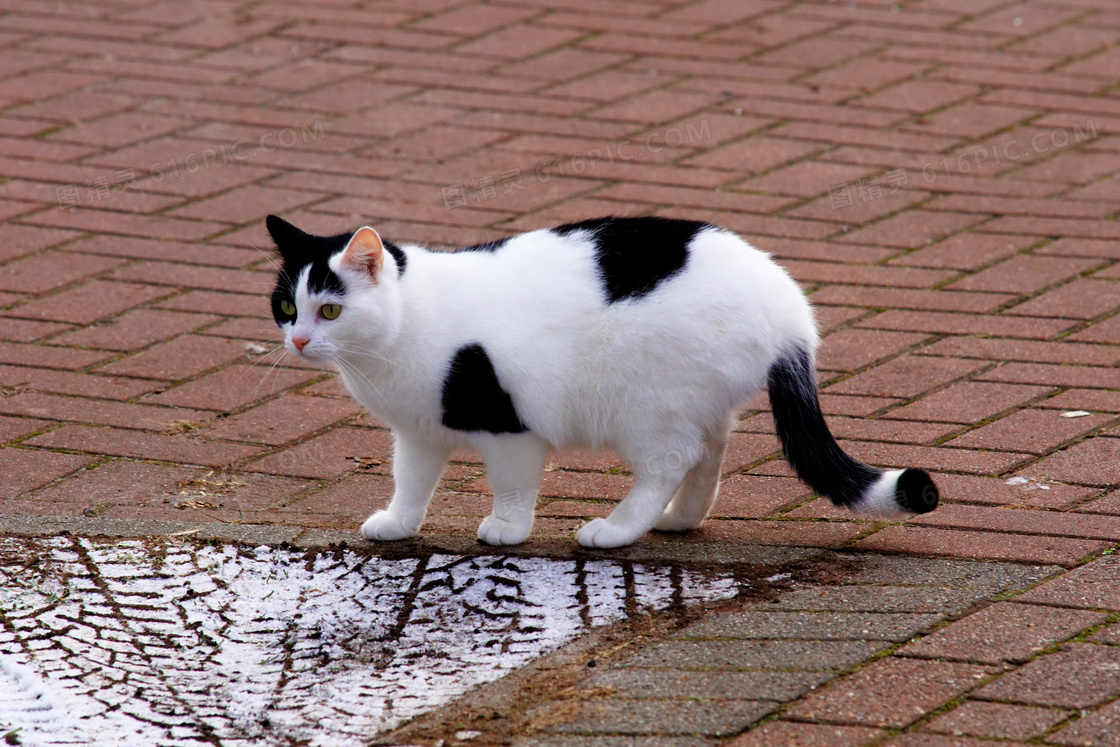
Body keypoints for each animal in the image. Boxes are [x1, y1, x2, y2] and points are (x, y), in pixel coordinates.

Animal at [268, 216, 936, 548]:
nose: (298, 341)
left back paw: (618, 529)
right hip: (693, 399)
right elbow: (410, 481)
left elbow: (512, 485)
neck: (406, 325)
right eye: (286, 306)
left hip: (644, 406)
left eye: (331, 310)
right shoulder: (419, 432)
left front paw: (508, 529)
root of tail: (789, 305)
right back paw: (680, 518)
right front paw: (400, 524)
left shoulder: (509, 428)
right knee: (710, 453)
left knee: (672, 459)